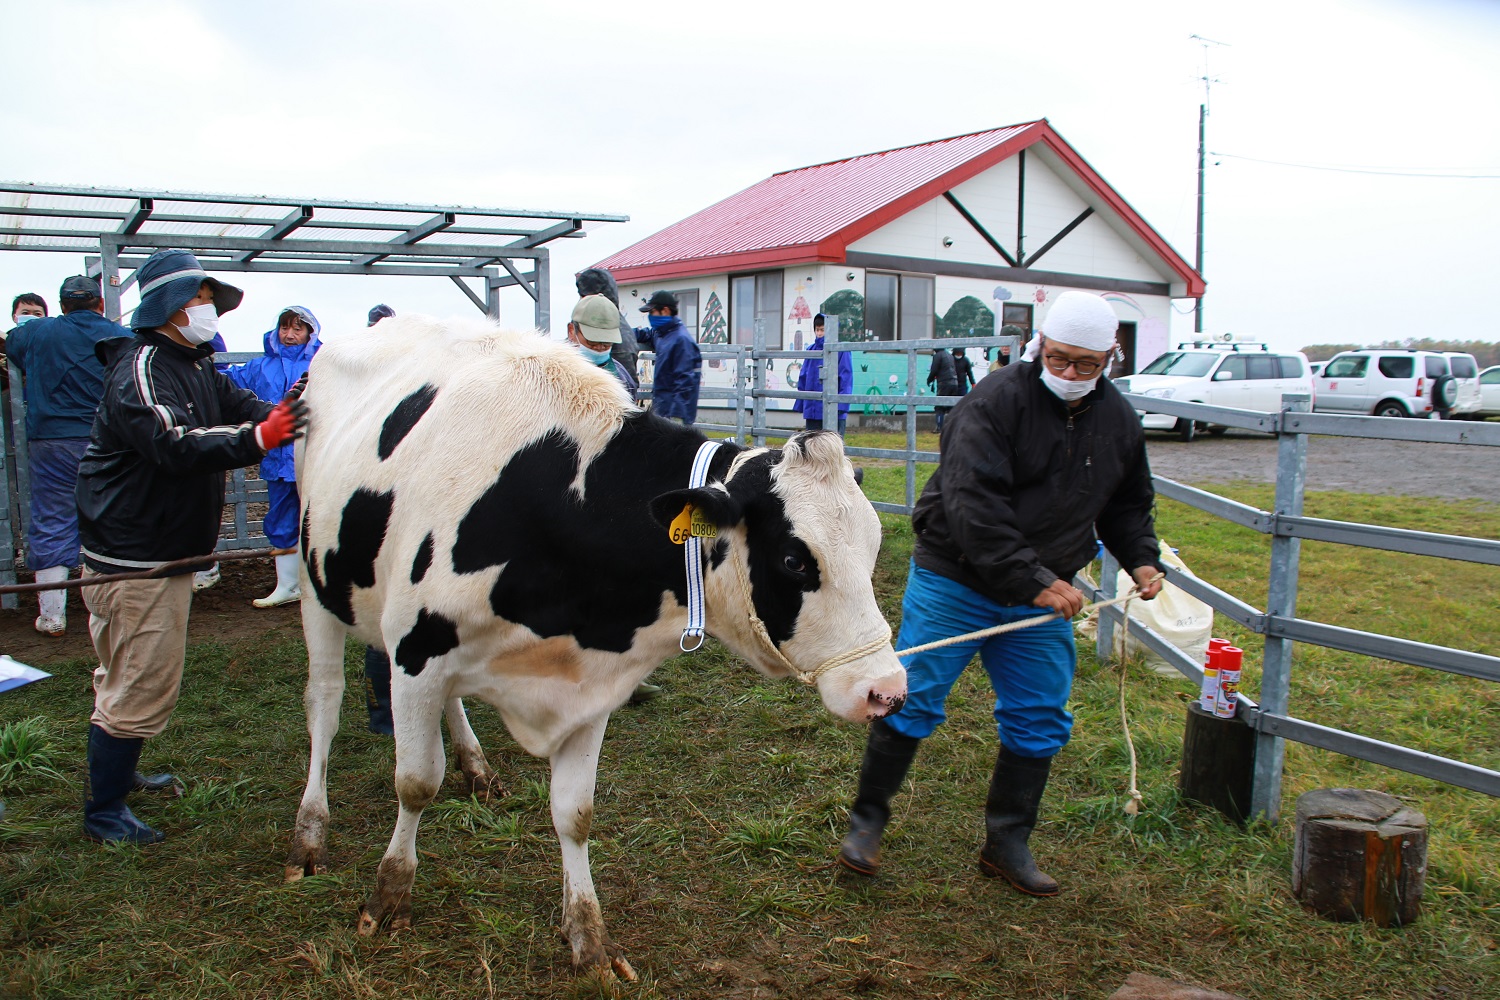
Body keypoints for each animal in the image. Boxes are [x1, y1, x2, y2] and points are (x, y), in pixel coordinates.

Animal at [286, 319, 906, 977]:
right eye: (793, 560)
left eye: (874, 544)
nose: (887, 690)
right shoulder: (417, 654)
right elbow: (415, 782)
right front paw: (388, 895)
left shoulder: (585, 683)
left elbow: (574, 813)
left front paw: (587, 934)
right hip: (314, 580)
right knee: (325, 702)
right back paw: (309, 832)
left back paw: (475, 764)